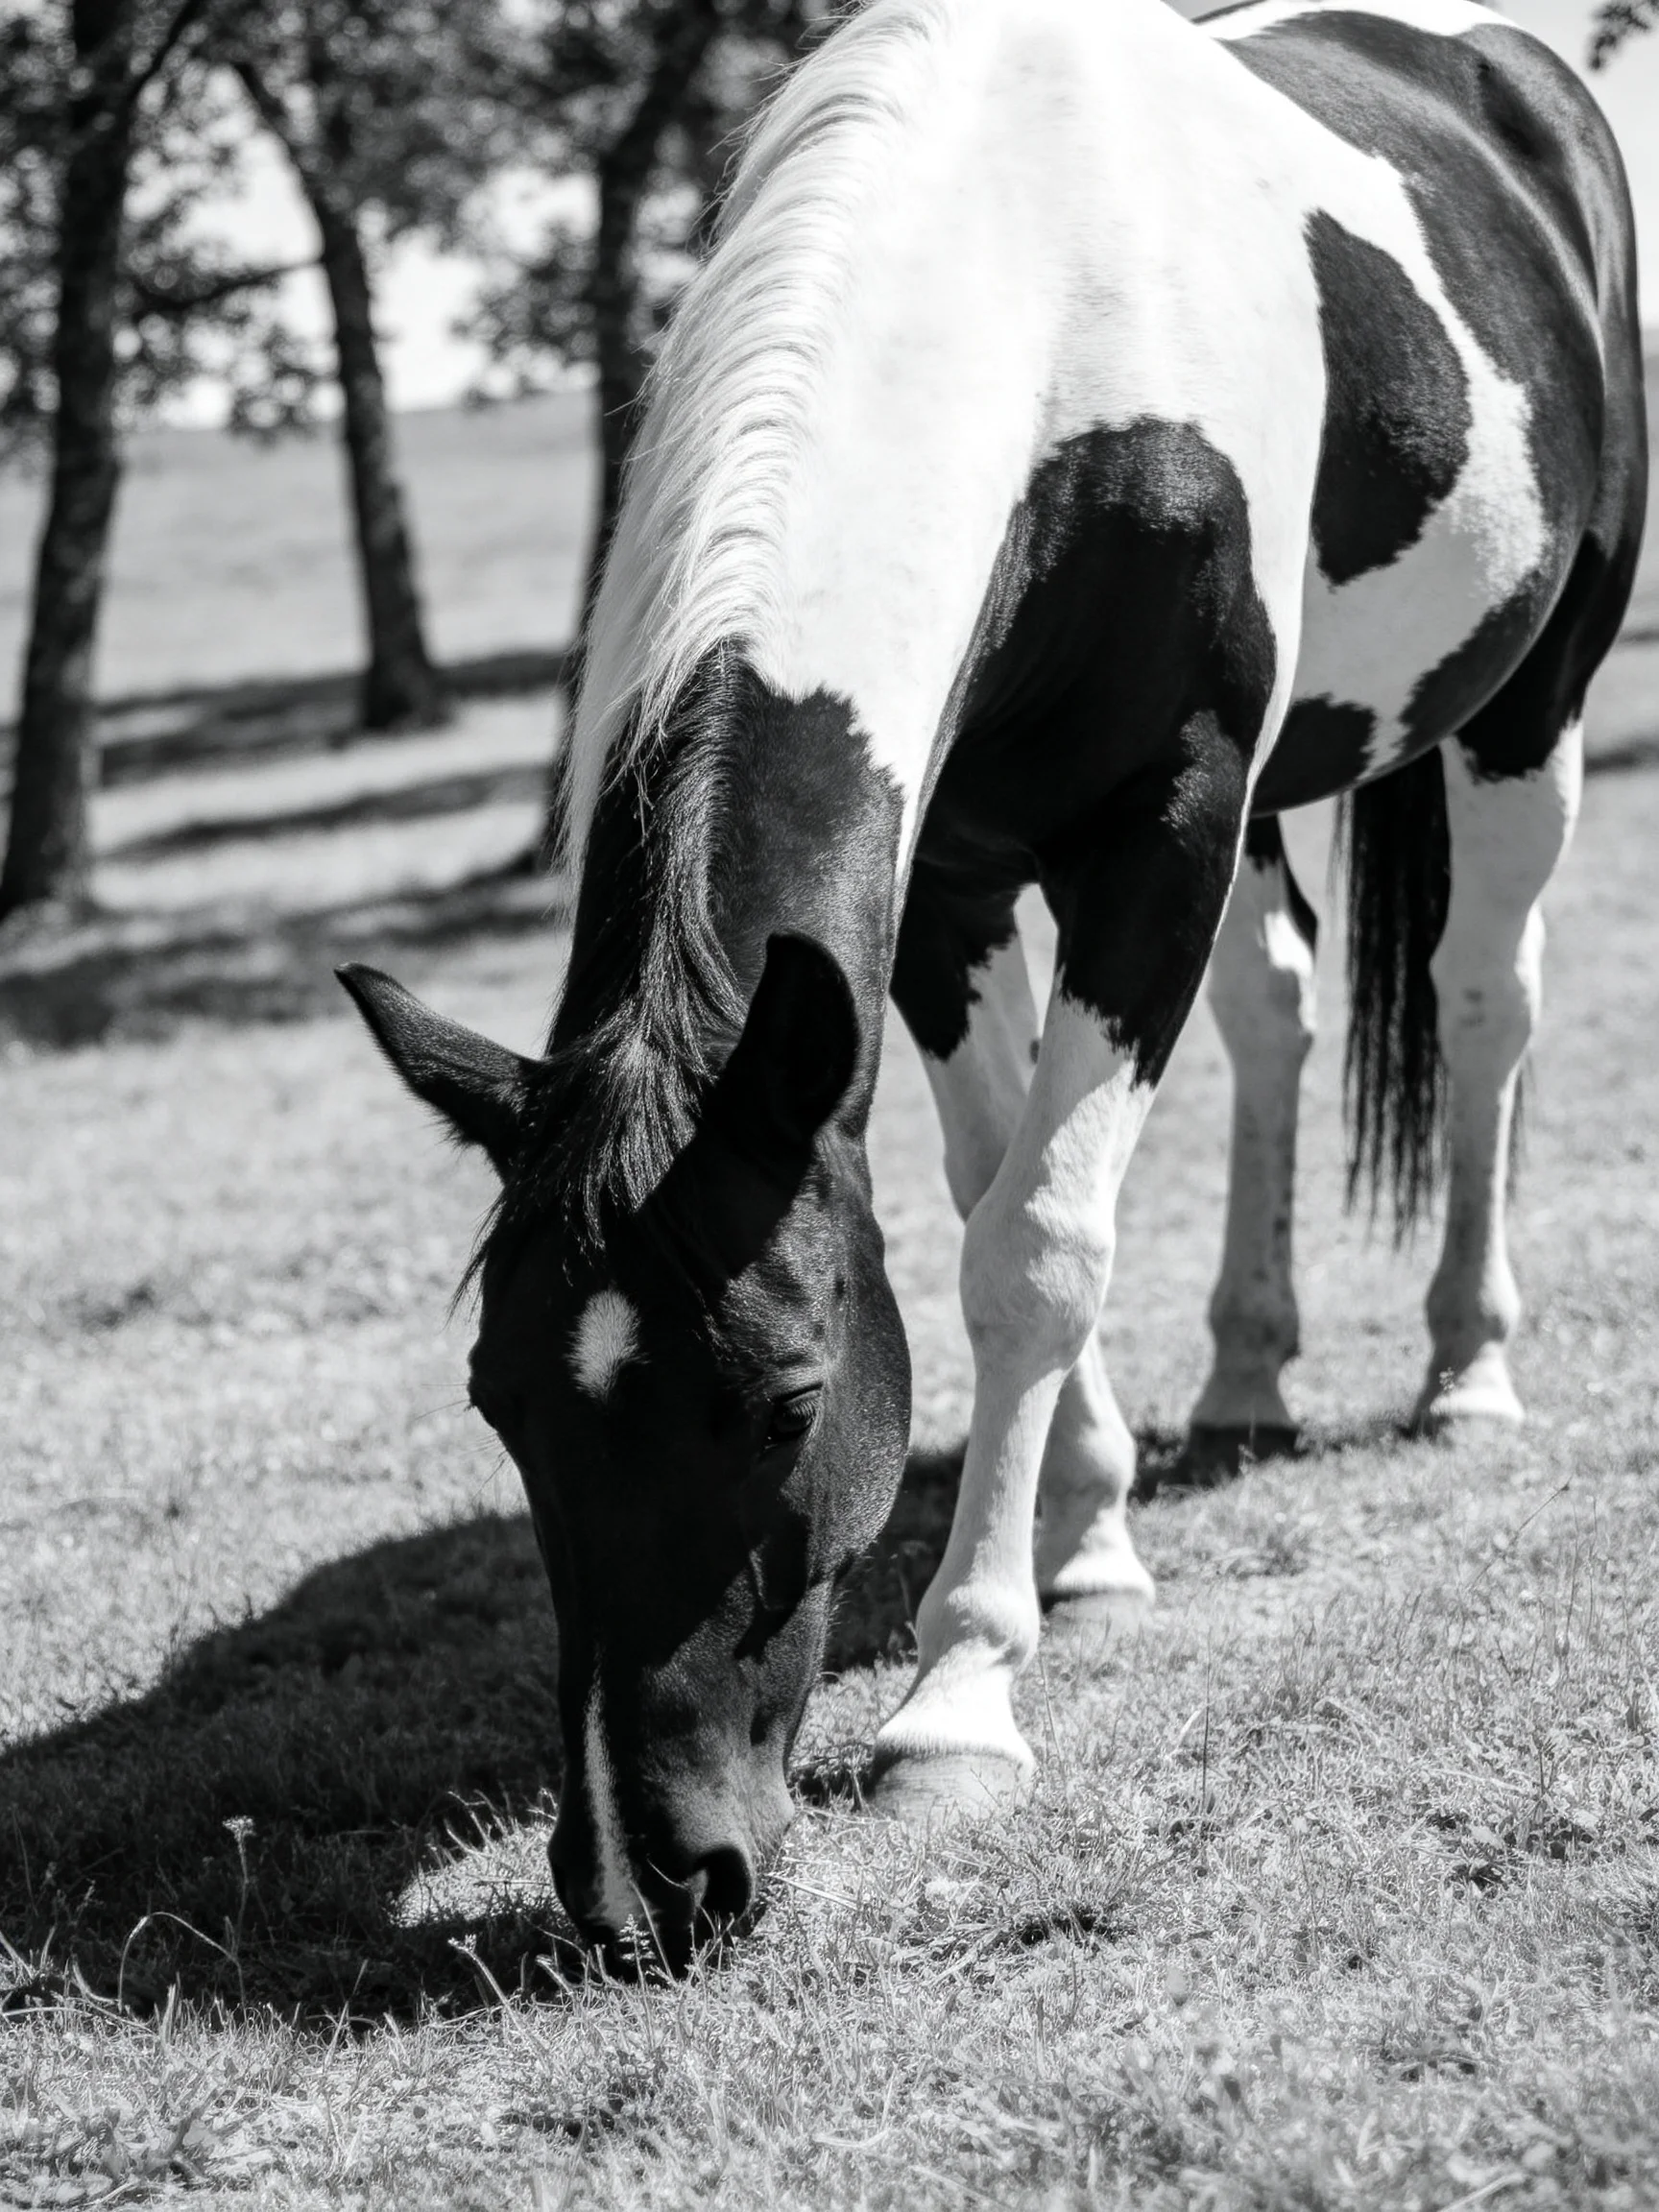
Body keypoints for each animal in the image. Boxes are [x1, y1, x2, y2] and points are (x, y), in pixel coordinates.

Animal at [339, 0, 1646, 1962]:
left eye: (792, 1400)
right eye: (502, 1403)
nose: (649, 1887)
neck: (1044, 305)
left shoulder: (1159, 827)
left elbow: (1035, 1239)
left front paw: (960, 1697)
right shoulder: (947, 879)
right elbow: (978, 1190)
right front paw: (1086, 1540)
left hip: (1527, 703)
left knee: (1486, 997)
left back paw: (1463, 1370)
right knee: (1278, 1008)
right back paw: (1245, 1378)